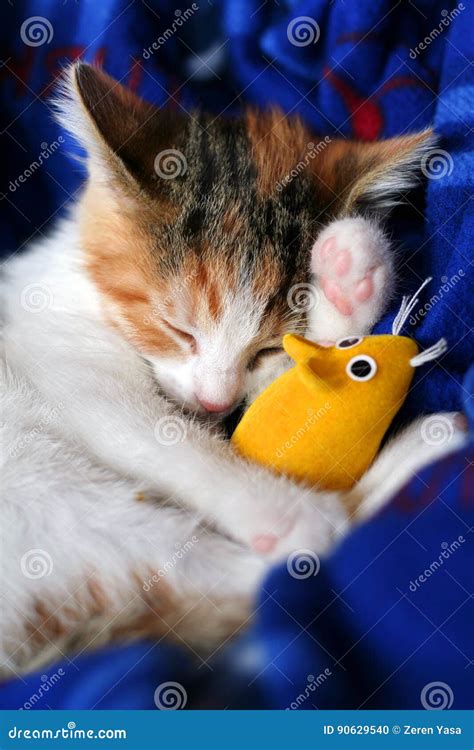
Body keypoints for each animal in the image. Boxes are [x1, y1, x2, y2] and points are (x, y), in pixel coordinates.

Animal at [0, 66, 462, 676]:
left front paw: (348, 279)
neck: (85, 290)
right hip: (56, 494)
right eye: (179, 329)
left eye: (261, 350)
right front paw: (282, 507)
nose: (215, 402)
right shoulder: (67, 360)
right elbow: (150, 431)